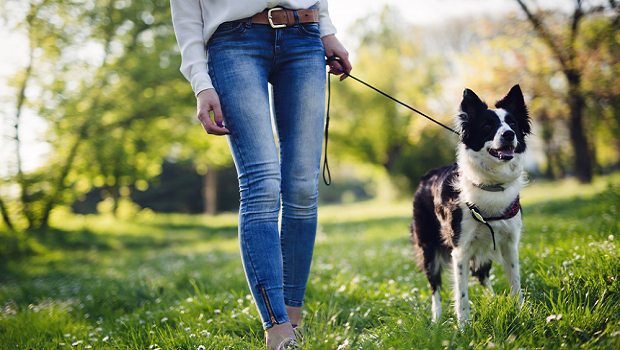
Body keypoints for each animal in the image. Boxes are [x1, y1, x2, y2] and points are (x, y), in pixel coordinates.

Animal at [412, 85, 532, 326]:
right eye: (487, 126)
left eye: (513, 124)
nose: (509, 134)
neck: (491, 184)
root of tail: (425, 177)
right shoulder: (460, 250)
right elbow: (462, 294)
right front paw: (464, 326)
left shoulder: (509, 244)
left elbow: (515, 283)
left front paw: (520, 314)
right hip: (428, 248)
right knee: (434, 286)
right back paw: (437, 318)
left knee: (483, 276)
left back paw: (492, 301)